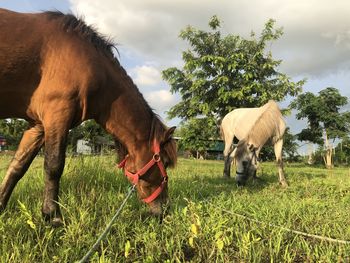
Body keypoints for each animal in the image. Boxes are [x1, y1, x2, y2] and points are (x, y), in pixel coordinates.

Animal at [0, 8, 176, 227]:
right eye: (165, 162)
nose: (165, 210)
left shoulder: (38, 125)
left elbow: (17, 167)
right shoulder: (57, 114)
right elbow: (54, 166)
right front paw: (53, 216)